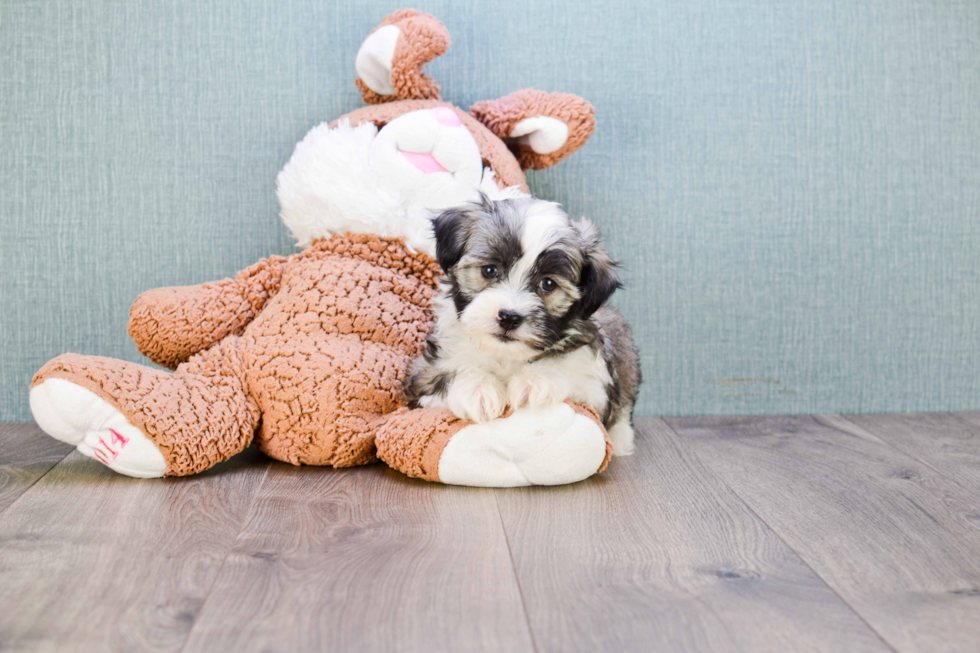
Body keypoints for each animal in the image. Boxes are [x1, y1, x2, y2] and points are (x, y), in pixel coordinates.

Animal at [402, 194, 640, 454]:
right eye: (489, 270)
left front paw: (536, 379)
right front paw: (477, 389)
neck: (506, 355)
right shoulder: (422, 376)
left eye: (548, 284)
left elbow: (571, 366)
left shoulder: (598, 388)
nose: (509, 316)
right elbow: (448, 372)